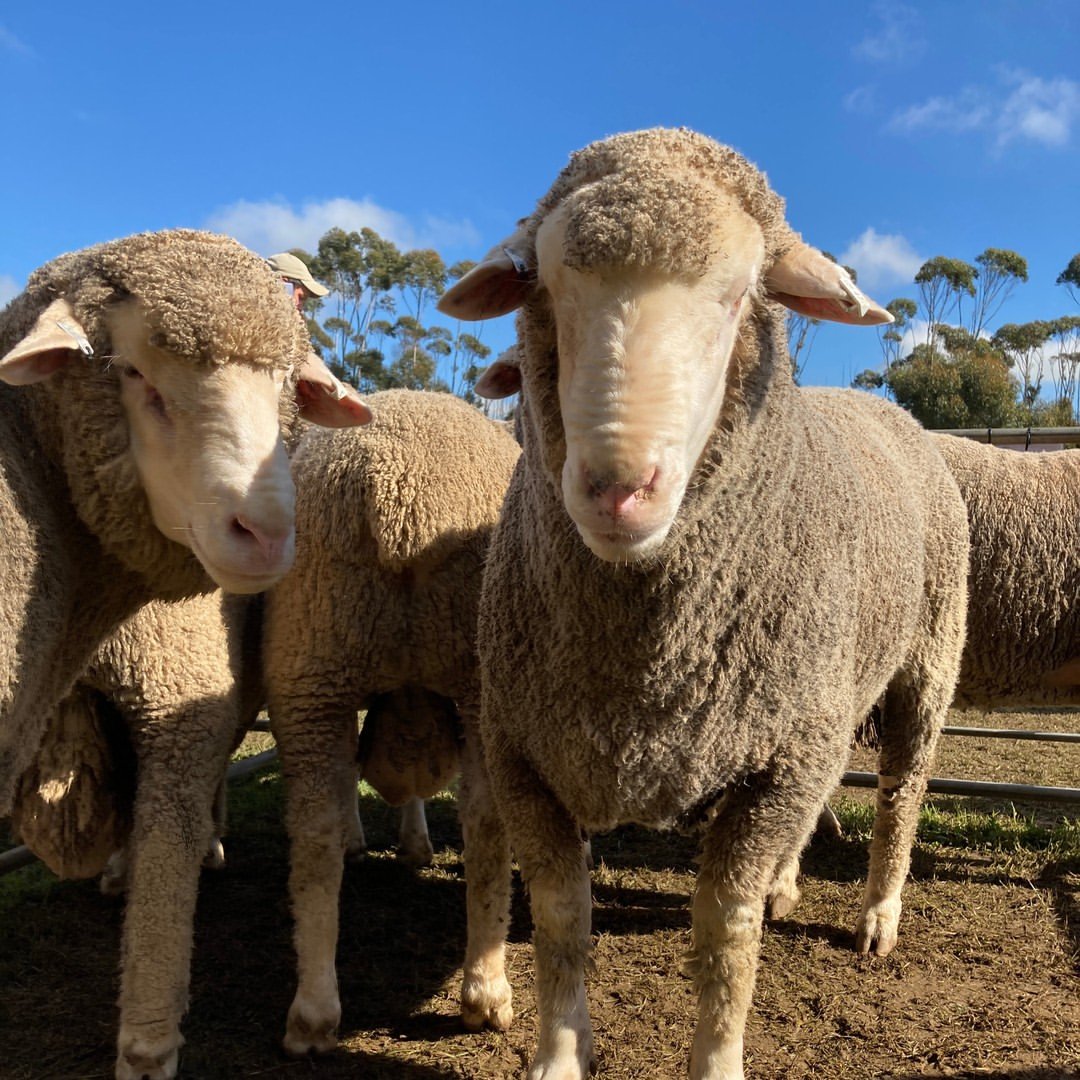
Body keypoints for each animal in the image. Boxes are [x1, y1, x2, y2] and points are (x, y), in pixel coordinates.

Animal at [261, 388, 521, 1056]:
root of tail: (400, 486)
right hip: (474, 672)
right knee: (487, 823)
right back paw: (485, 991)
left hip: (312, 662)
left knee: (315, 833)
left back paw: (314, 1011)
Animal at [438, 127, 970, 1080]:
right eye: (550, 290)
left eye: (733, 299)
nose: (617, 488)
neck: (646, 657)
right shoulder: (524, 751)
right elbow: (563, 921)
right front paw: (558, 1053)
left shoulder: (777, 764)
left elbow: (725, 934)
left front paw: (718, 1054)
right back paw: (792, 883)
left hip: (923, 664)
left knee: (902, 789)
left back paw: (878, 915)